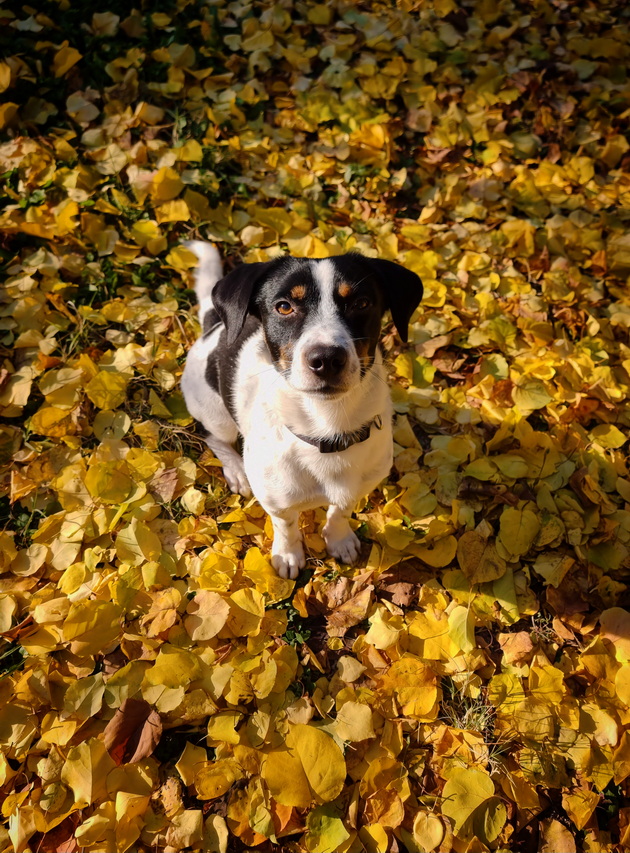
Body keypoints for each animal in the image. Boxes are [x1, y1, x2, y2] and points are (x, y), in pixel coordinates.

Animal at [183, 245, 424, 580]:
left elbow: (340, 512)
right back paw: (236, 470)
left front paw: (339, 539)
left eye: (361, 303)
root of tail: (215, 326)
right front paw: (288, 554)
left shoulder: (360, 485)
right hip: (215, 412)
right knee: (214, 437)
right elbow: (285, 525)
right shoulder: (276, 501)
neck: (327, 429)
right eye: (284, 307)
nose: (326, 359)